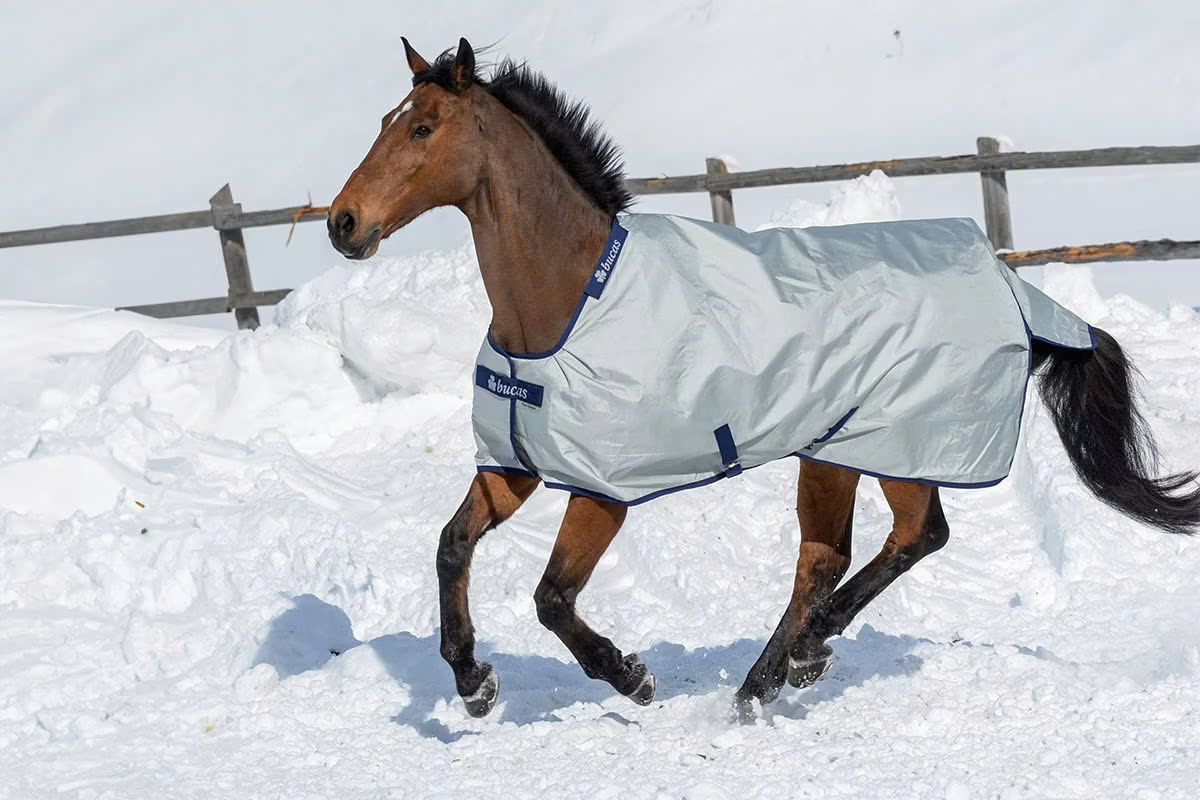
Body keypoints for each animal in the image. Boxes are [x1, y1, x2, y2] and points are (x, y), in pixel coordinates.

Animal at [326, 37, 1200, 720]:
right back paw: (768, 680)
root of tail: (1012, 288)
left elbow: (551, 597)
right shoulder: (517, 465)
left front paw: (632, 677)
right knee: (835, 553)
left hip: (884, 444)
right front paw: (473, 681)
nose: (343, 224)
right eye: (384, 123)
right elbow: (451, 546)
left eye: (424, 126)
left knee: (903, 539)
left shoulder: (603, 490)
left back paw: (798, 658)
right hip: (840, 451)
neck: (567, 302)